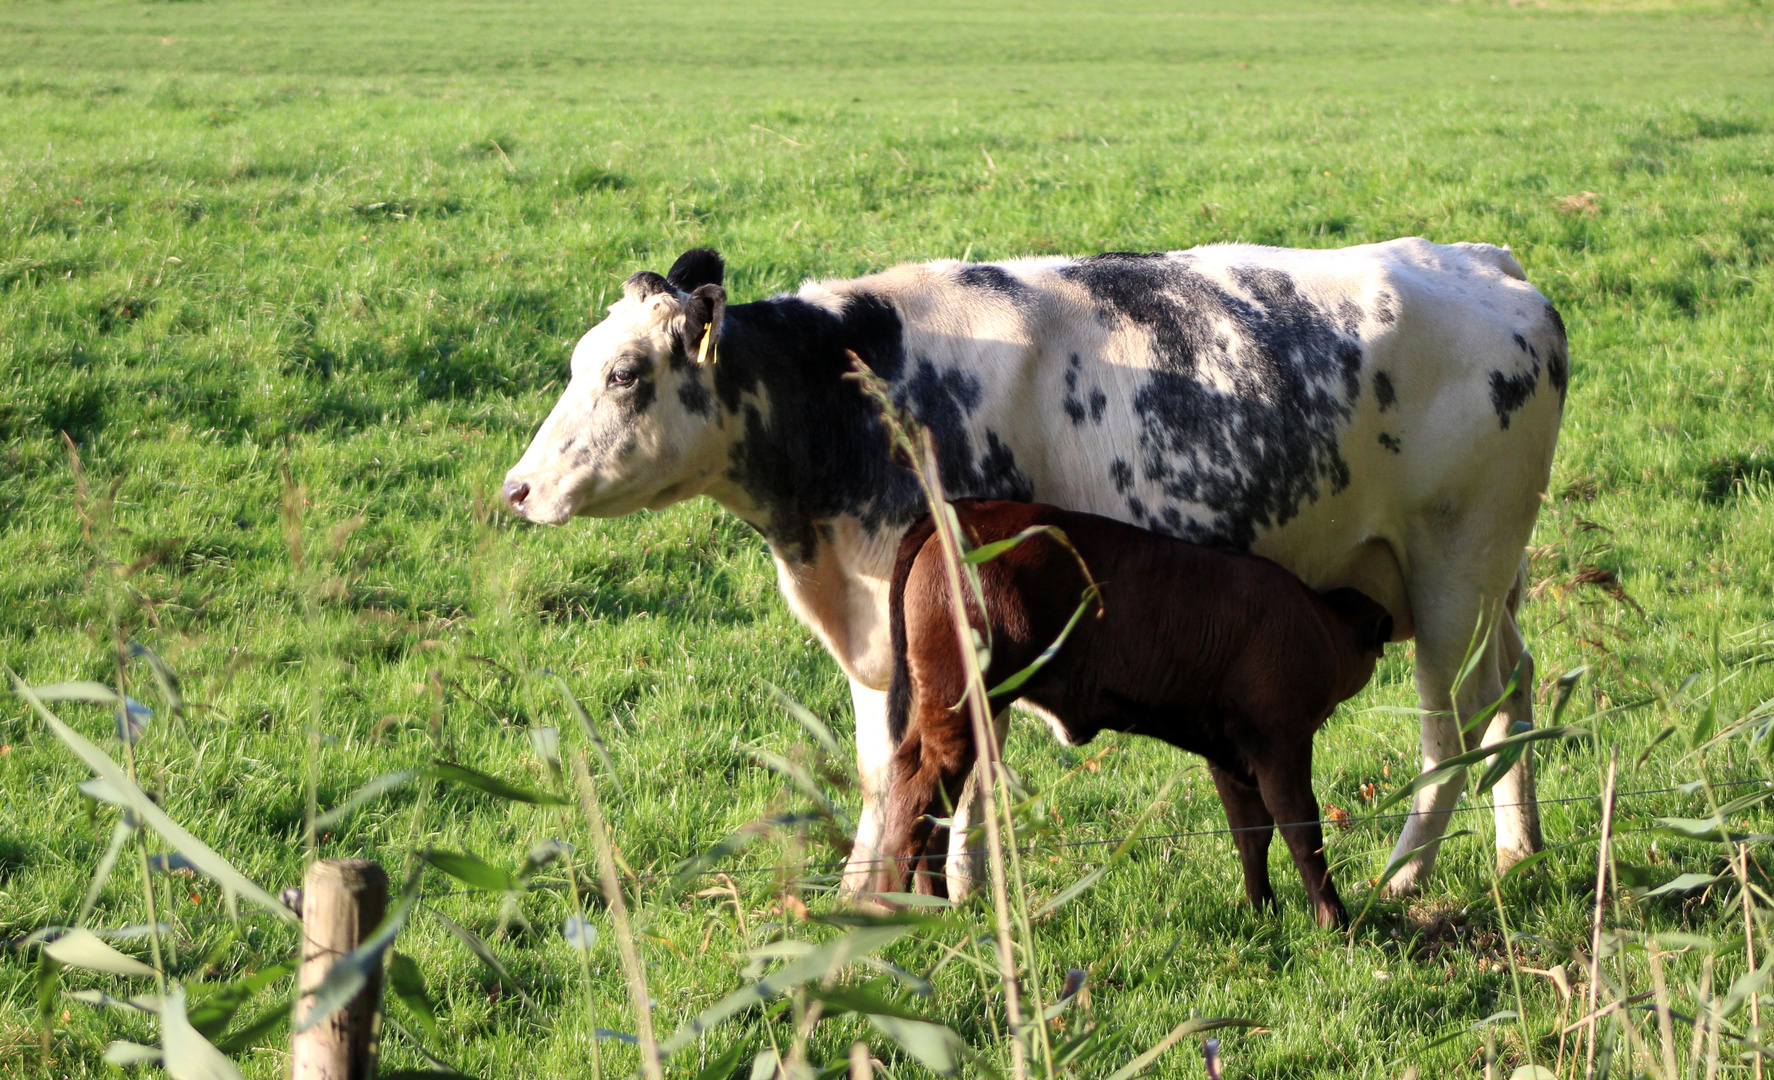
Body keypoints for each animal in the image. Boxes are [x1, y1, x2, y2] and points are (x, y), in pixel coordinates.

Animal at [879, 496, 1390, 929]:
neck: (1319, 623)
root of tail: (963, 508)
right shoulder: (1281, 737)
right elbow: (1301, 826)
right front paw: (1334, 921)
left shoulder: (1231, 754)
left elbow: (1251, 829)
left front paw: (1261, 910)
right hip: (958, 704)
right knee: (915, 791)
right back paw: (889, 910)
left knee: (935, 807)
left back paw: (932, 910)